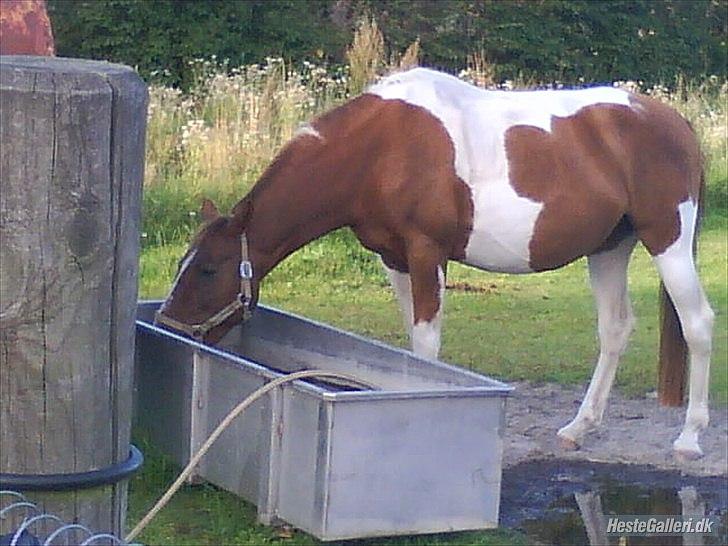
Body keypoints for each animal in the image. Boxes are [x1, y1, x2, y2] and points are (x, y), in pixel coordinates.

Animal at [156, 67, 712, 460]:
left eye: (209, 269)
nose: (167, 328)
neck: (378, 151)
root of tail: (677, 124)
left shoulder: (426, 253)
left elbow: (427, 344)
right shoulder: (394, 259)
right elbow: (412, 346)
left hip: (667, 238)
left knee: (698, 323)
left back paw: (689, 438)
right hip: (609, 248)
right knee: (615, 329)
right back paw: (579, 428)